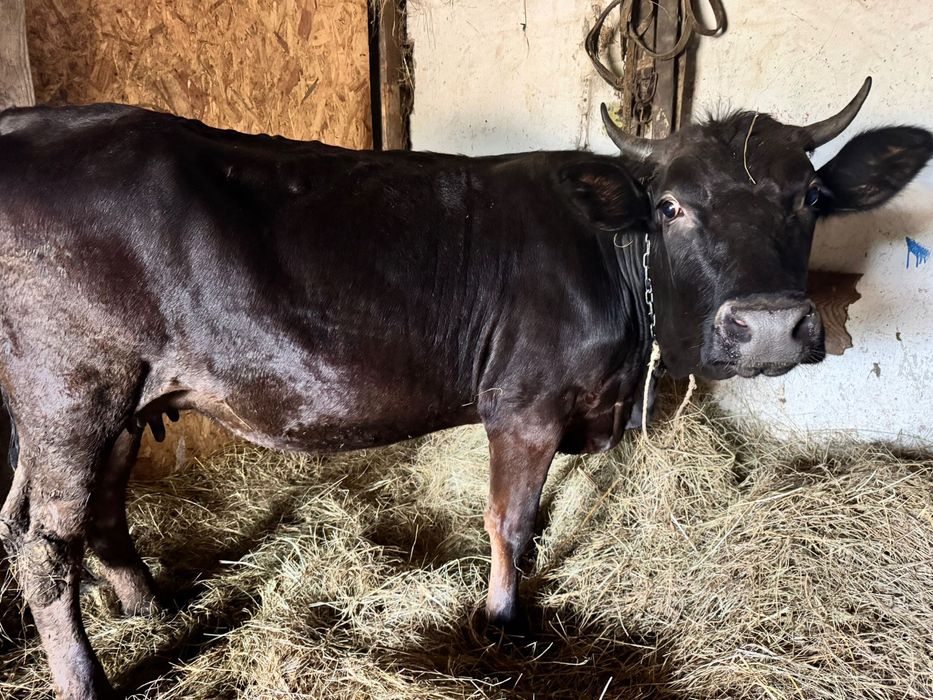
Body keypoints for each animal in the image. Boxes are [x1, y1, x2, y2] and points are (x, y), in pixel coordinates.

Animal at [0, 77, 930, 699]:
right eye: (670, 206)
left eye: (809, 196)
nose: (769, 326)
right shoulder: (522, 404)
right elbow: (509, 521)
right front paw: (506, 621)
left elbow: (538, 516)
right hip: (72, 387)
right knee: (46, 548)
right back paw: (89, 682)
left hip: (117, 397)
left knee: (93, 509)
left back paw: (150, 607)